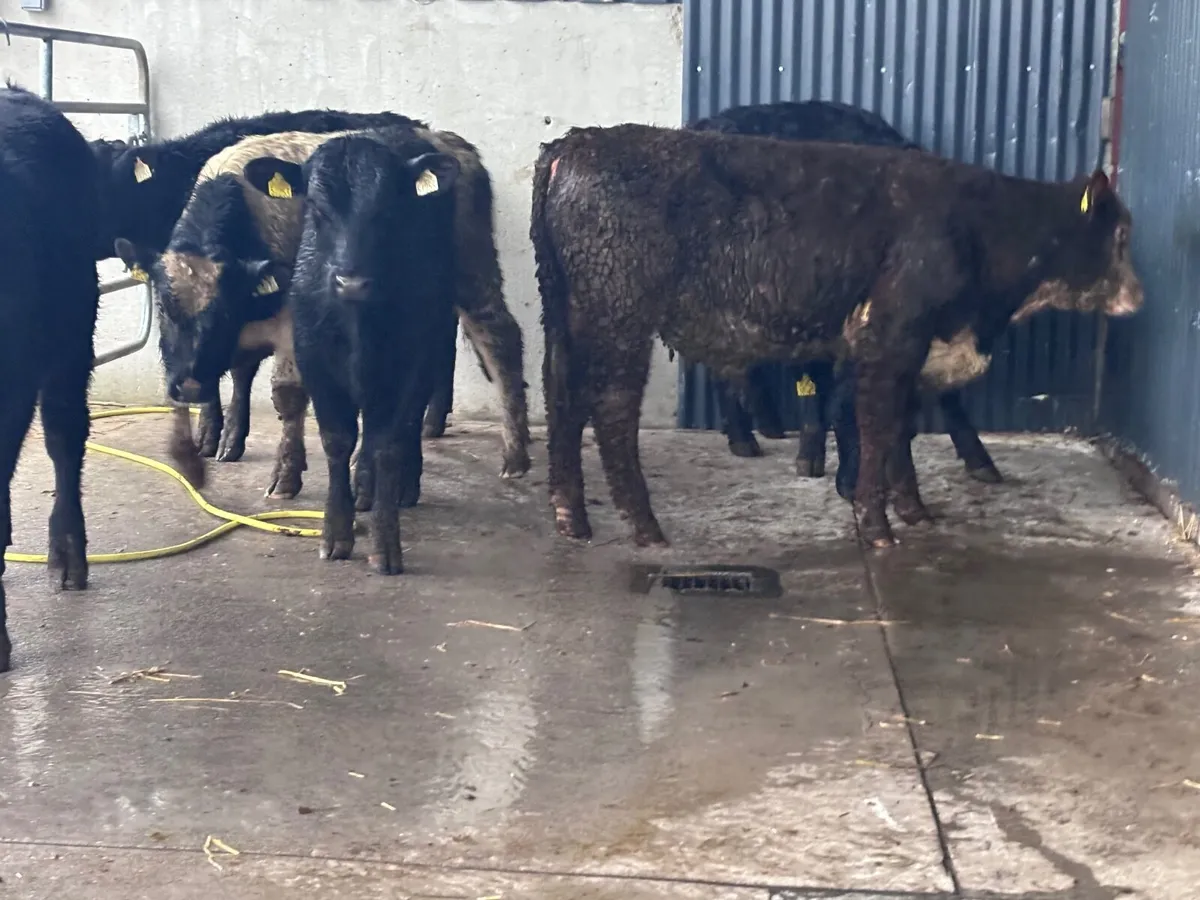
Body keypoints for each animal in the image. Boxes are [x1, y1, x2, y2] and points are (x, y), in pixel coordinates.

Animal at [115, 126, 530, 508]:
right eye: (163, 307)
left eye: (223, 312)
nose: (188, 386)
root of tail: (445, 139)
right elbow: (233, 372)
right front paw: (216, 444)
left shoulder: (292, 324)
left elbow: (286, 394)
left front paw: (285, 475)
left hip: (472, 271)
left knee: (500, 342)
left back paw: (514, 456)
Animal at [238, 128, 461, 574]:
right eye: (316, 208)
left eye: (388, 209)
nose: (352, 282)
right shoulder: (315, 362)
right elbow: (338, 439)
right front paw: (336, 532)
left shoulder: (405, 361)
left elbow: (389, 441)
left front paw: (385, 541)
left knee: (407, 424)